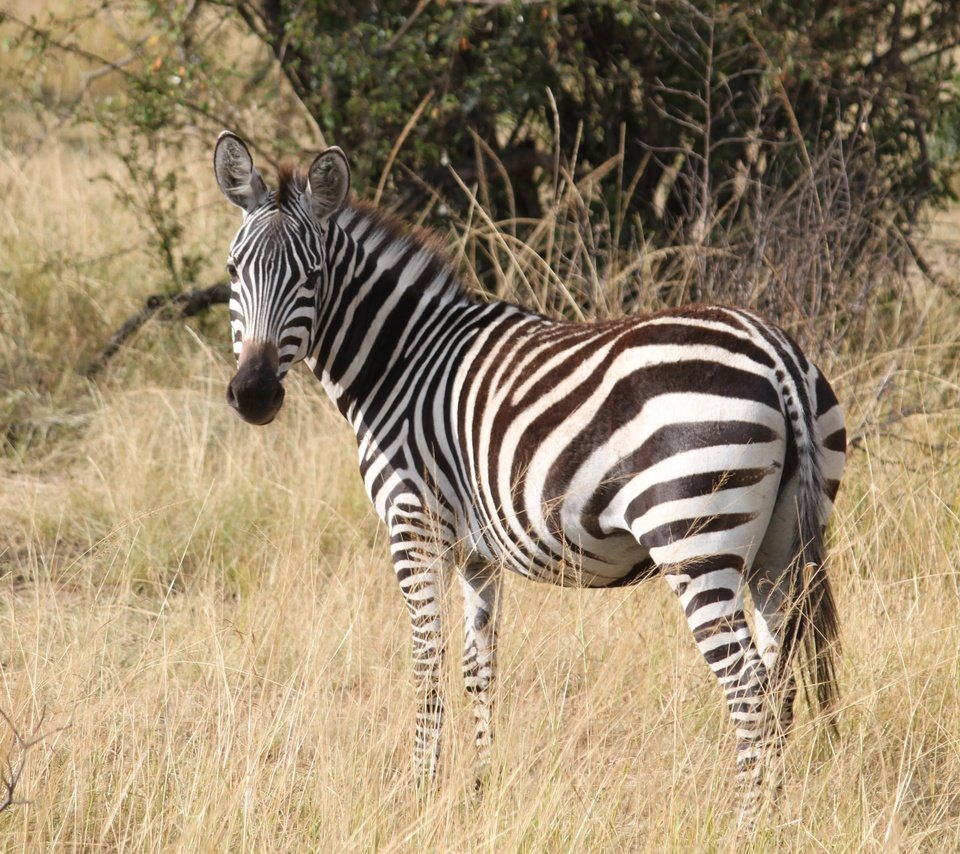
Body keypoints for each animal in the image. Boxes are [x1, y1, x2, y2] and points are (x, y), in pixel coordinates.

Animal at [214, 132, 844, 824]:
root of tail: (774, 352)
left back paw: (743, 824)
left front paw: (420, 793)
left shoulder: (414, 526)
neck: (402, 362)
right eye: (233, 272)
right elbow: (478, 666)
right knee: (779, 675)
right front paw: (481, 788)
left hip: (695, 537)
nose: (254, 395)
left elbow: (426, 661)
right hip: (778, 546)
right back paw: (778, 816)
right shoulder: (475, 553)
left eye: (312, 276)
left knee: (748, 686)